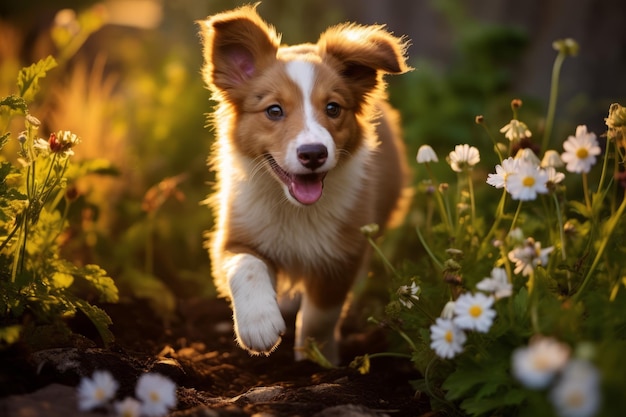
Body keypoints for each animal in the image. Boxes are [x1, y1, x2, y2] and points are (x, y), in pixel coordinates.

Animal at [199, 4, 410, 364]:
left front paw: (316, 358)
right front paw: (259, 324)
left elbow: (320, 316)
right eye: (274, 110)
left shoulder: (342, 255)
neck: (294, 209)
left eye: (333, 108)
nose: (313, 153)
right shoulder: (232, 238)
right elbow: (247, 264)